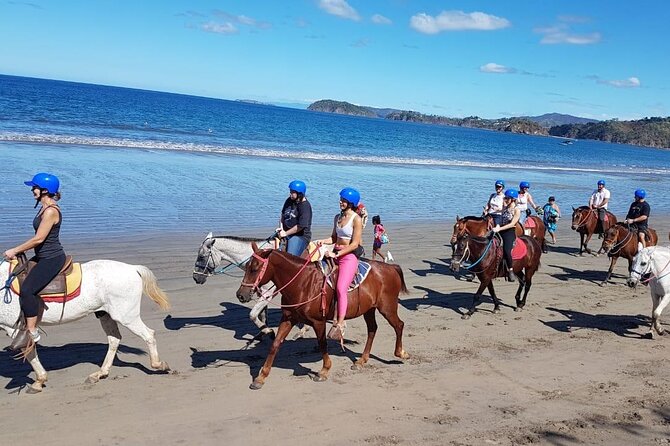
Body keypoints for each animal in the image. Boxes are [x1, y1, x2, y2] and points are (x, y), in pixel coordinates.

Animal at [1, 260, 169, 392]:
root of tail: (133, 268)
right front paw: (39, 381)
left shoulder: (14, 329)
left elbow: (29, 352)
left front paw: (39, 381)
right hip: (105, 315)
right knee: (114, 339)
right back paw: (99, 374)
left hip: (127, 316)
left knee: (148, 334)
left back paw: (159, 365)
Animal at [236, 244, 414, 390]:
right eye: (246, 267)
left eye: (255, 268)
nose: (240, 295)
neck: (302, 283)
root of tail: (391, 268)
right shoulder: (288, 319)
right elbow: (275, 345)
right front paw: (261, 377)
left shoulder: (318, 321)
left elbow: (322, 344)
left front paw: (324, 370)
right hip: (369, 309)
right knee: (372, 329)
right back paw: (362, 360)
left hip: (387, 307)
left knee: (399, 325)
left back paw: (401, 353)